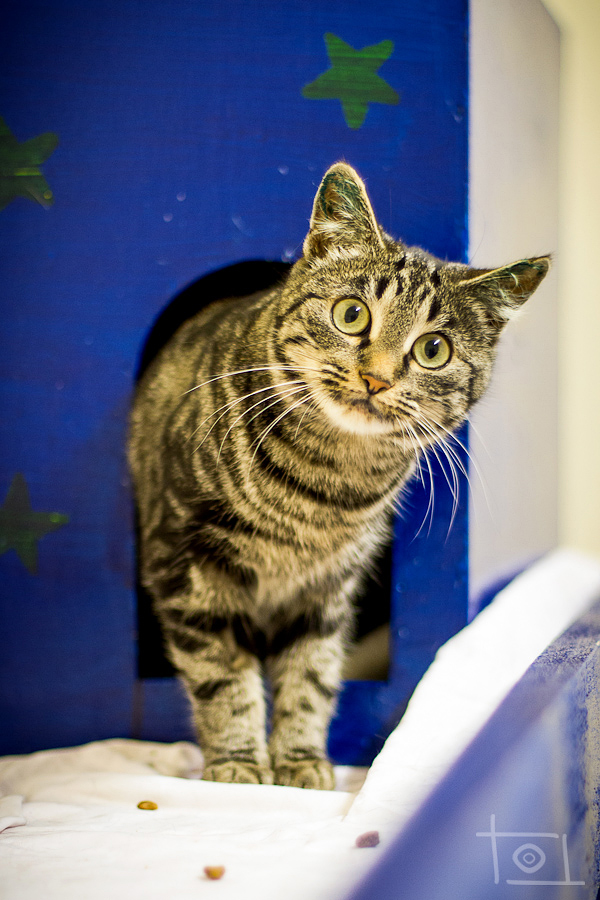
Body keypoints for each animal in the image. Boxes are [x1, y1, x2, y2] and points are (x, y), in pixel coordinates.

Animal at [129, 162, 552, 788]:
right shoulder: (184, 560)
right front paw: (237, 762)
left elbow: (311, 676)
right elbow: (221, 674)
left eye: (433, 349)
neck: (323, 484)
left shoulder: (328, 589)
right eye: (352, 314)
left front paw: (300, 760)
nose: (376, 378)